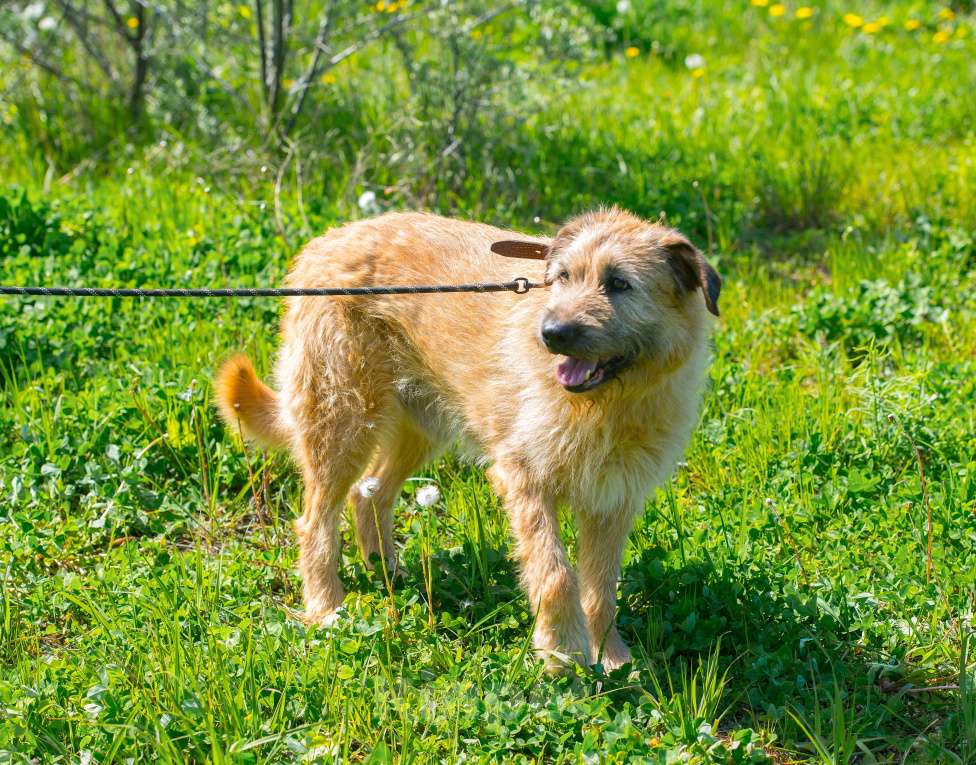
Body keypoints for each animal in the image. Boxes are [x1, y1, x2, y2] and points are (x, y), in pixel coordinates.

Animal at [217, 206, 720, 672]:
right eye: (562, 277)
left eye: (619, 283)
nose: (551, 334)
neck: (609, 404)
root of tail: (323, 243)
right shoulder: (524, 479)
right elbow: (556, 573)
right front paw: (562, 653)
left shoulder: (612, 500)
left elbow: (602, 588)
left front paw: (611, 656)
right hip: (342, 423)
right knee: (315, 521)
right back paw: (326, 608)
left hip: (422, 427)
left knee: (369, 491)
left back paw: (388, 571)